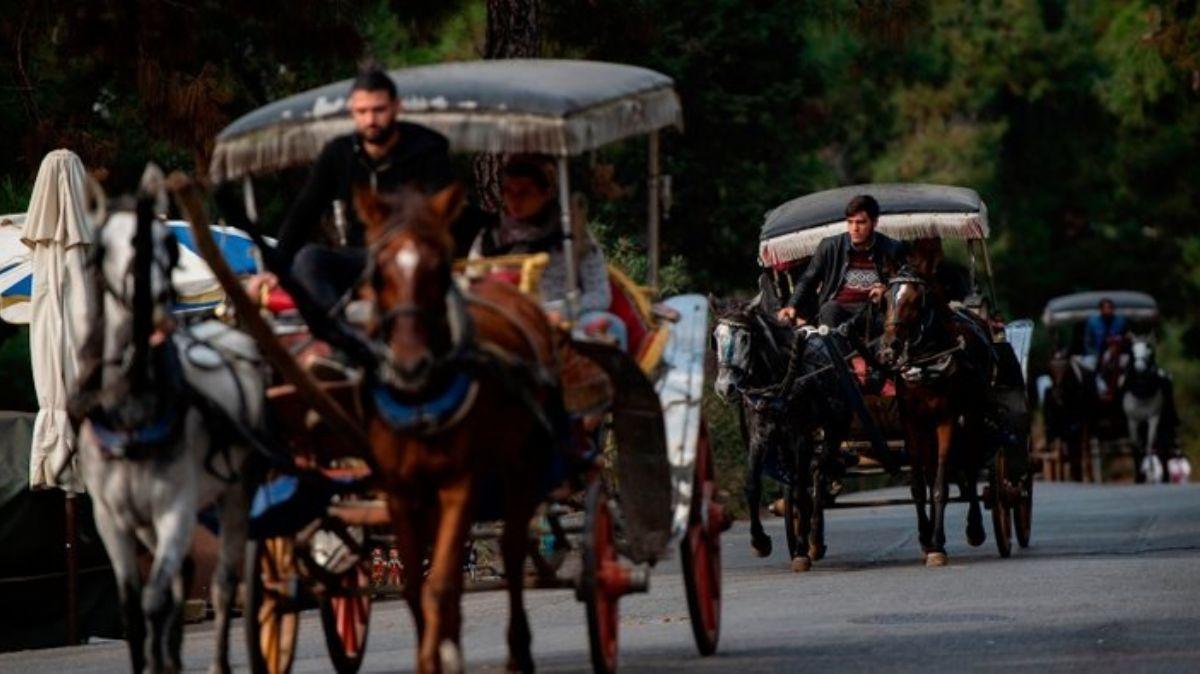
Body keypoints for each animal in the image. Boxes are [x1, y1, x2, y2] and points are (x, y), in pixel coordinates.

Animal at [75, 206, 267, 671]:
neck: (132, 413)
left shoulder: (175, 509)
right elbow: (132, 610)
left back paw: (219, 660)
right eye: (107, 246)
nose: (154, 295)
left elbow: (155, 598)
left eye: (168, 245)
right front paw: (154, 660)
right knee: (187, 571)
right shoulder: (112, 519)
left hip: (236, 494)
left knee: (225, 582)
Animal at [355, 184, 561, 671]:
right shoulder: (400, 493)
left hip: (520, 464)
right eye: (378, 273)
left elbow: (441, 586)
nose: (410, 363)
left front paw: (439, 654)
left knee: (511, 546)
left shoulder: (459, 484)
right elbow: (415, 588)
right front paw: (437, 653)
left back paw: (518, 651)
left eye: (438, 268)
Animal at [878, 260, 988, 563]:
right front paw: (926, 538)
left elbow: (940, 485)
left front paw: (937, 544)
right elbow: (918, 485)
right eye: (885, 299)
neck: (927, 364)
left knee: (971, 466)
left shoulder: (946, 420)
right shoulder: (912, 423)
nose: (889, 348)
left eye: (916, 300)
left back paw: (975, 529)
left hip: (972, 415)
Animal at [1118, 335, 1166, 482]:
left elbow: (1149, 445)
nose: (1139, 368)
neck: (1142, 394)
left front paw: (1150, 471)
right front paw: (1139, 475)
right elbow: (1136, 448)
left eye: (1150, 350)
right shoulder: (1132, 421)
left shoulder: (1154, 418)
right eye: (1132, 352)